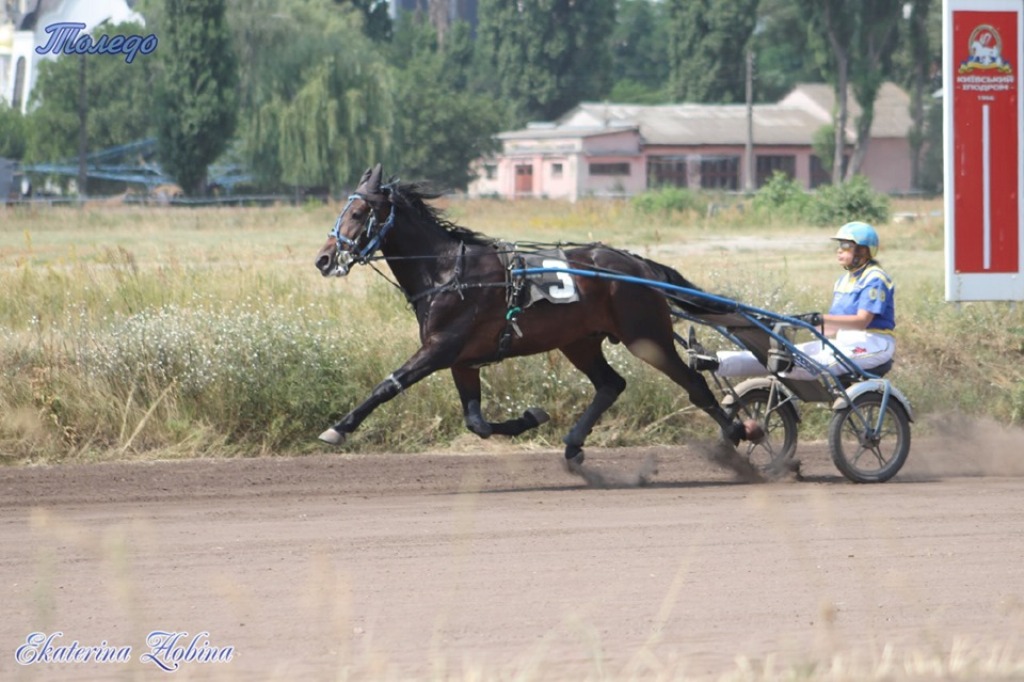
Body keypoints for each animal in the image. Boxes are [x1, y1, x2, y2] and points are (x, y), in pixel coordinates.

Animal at [311, 161, 761, 464]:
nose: (323, 259)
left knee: (694, 384)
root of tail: (638, 265)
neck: (448, 272)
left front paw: (338, 428)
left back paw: (739, 432)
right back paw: (574, 444)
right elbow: (476, 421)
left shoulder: (441, 348)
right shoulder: (462, 359)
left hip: (646, 335)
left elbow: (388, 386)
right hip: (579, 341)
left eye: (357, 214)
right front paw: (530, 417)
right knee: (610, 384)